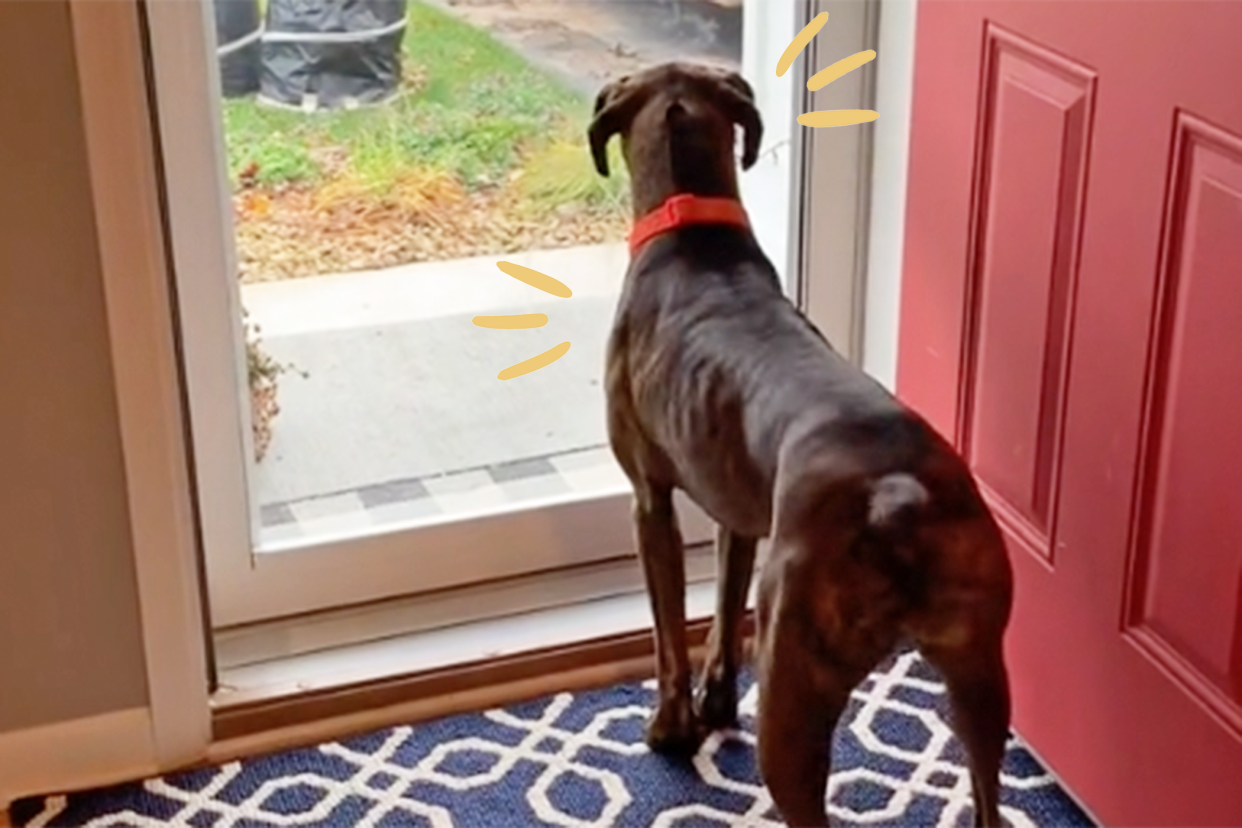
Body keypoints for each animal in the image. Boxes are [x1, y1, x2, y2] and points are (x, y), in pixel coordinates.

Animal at [591, 63, 1018, 828]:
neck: (693, 233)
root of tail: (894, 498)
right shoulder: (738, 518)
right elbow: (722, 612)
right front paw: (714, 702)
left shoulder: (650, 503)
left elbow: (669, 634)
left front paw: (673, 729)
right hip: (978, 680)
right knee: (988, 793)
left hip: (793, 695)